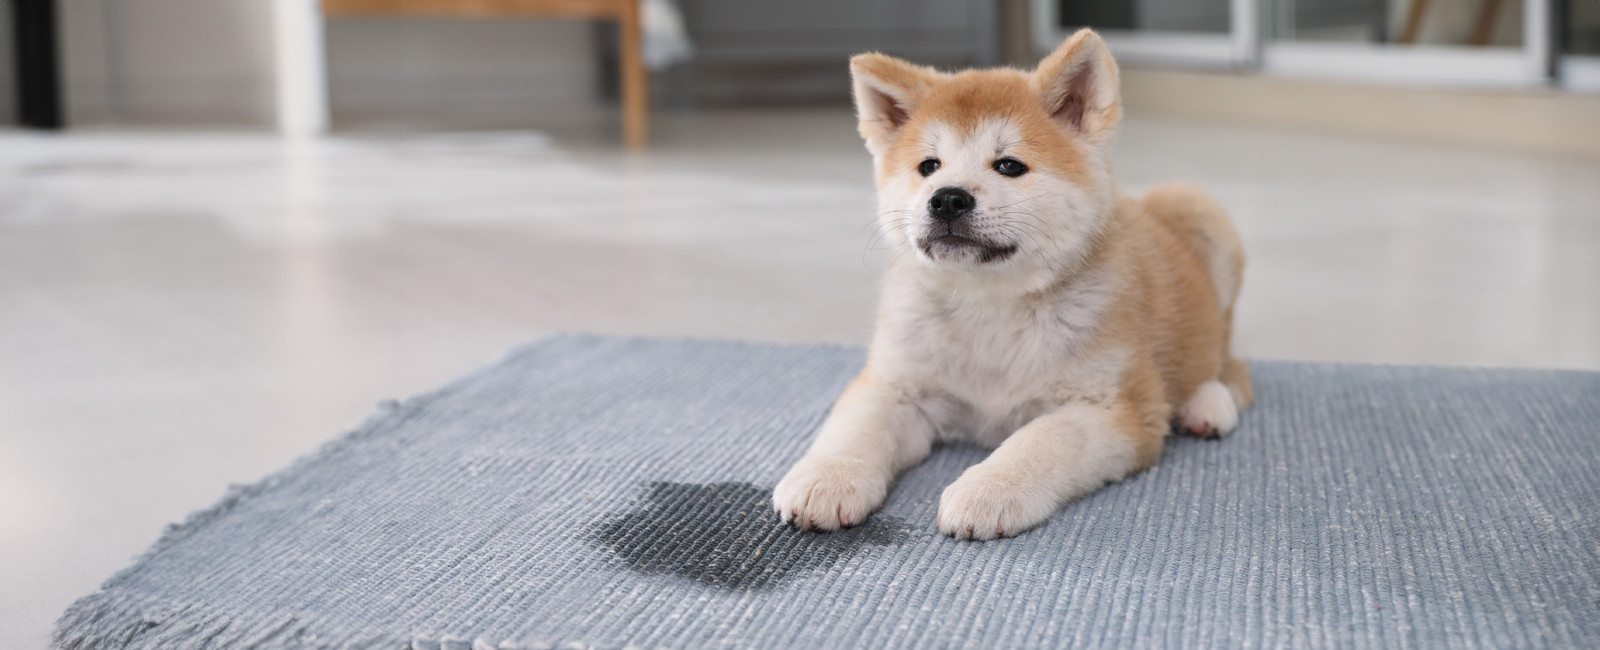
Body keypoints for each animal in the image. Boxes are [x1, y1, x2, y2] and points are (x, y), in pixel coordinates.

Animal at [774, 30, 1248, 541]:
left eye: (1008, 166)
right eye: (929, 166)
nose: (947, 199)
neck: (991, 306)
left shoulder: (1115, 407)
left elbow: (1041, 439)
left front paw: (990, 489)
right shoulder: (896, 385)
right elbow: (855, 429)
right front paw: (827, 477)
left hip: (1200, 213)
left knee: (1226, 357)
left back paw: (1207, 402)